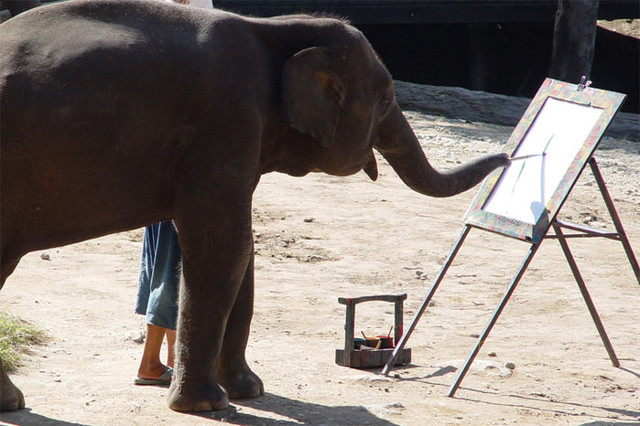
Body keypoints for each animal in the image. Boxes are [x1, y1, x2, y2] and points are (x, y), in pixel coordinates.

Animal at [0, 0, 510, 412]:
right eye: (384, 100)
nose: (508, 158)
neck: (273, 27)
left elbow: (241, 254)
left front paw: (250, 391)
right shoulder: (228, 122)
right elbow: (224, 248)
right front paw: (206, 405)